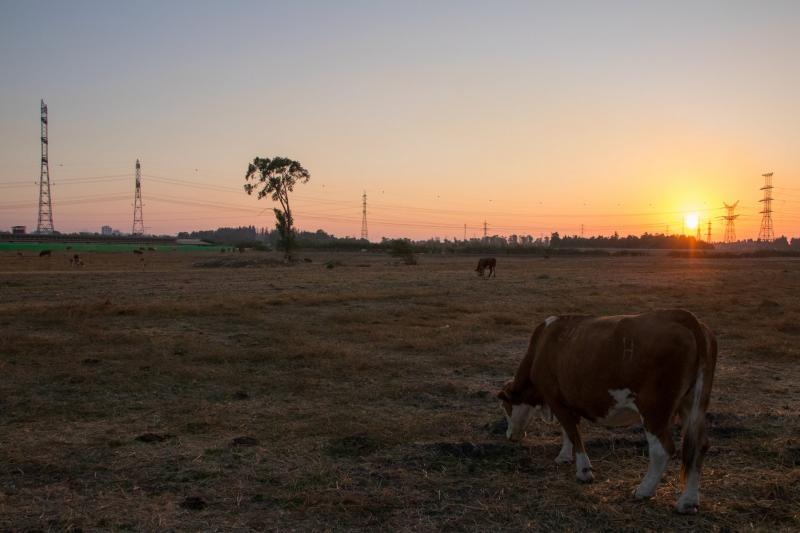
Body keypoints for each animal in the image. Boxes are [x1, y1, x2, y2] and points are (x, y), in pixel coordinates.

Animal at [500, 310, 720, 512]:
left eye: (505, 407)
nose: (509, 435)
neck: (541, 347)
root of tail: (683, 317)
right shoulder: (566, 400)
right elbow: (567, 431)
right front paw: (564, 456)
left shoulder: (555, 398)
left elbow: (573, 433)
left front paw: (583, 471)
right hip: (693, 405)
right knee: (698, 445)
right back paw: (688, 501)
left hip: (654, 410)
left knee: (662, 449)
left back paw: (644, 490)